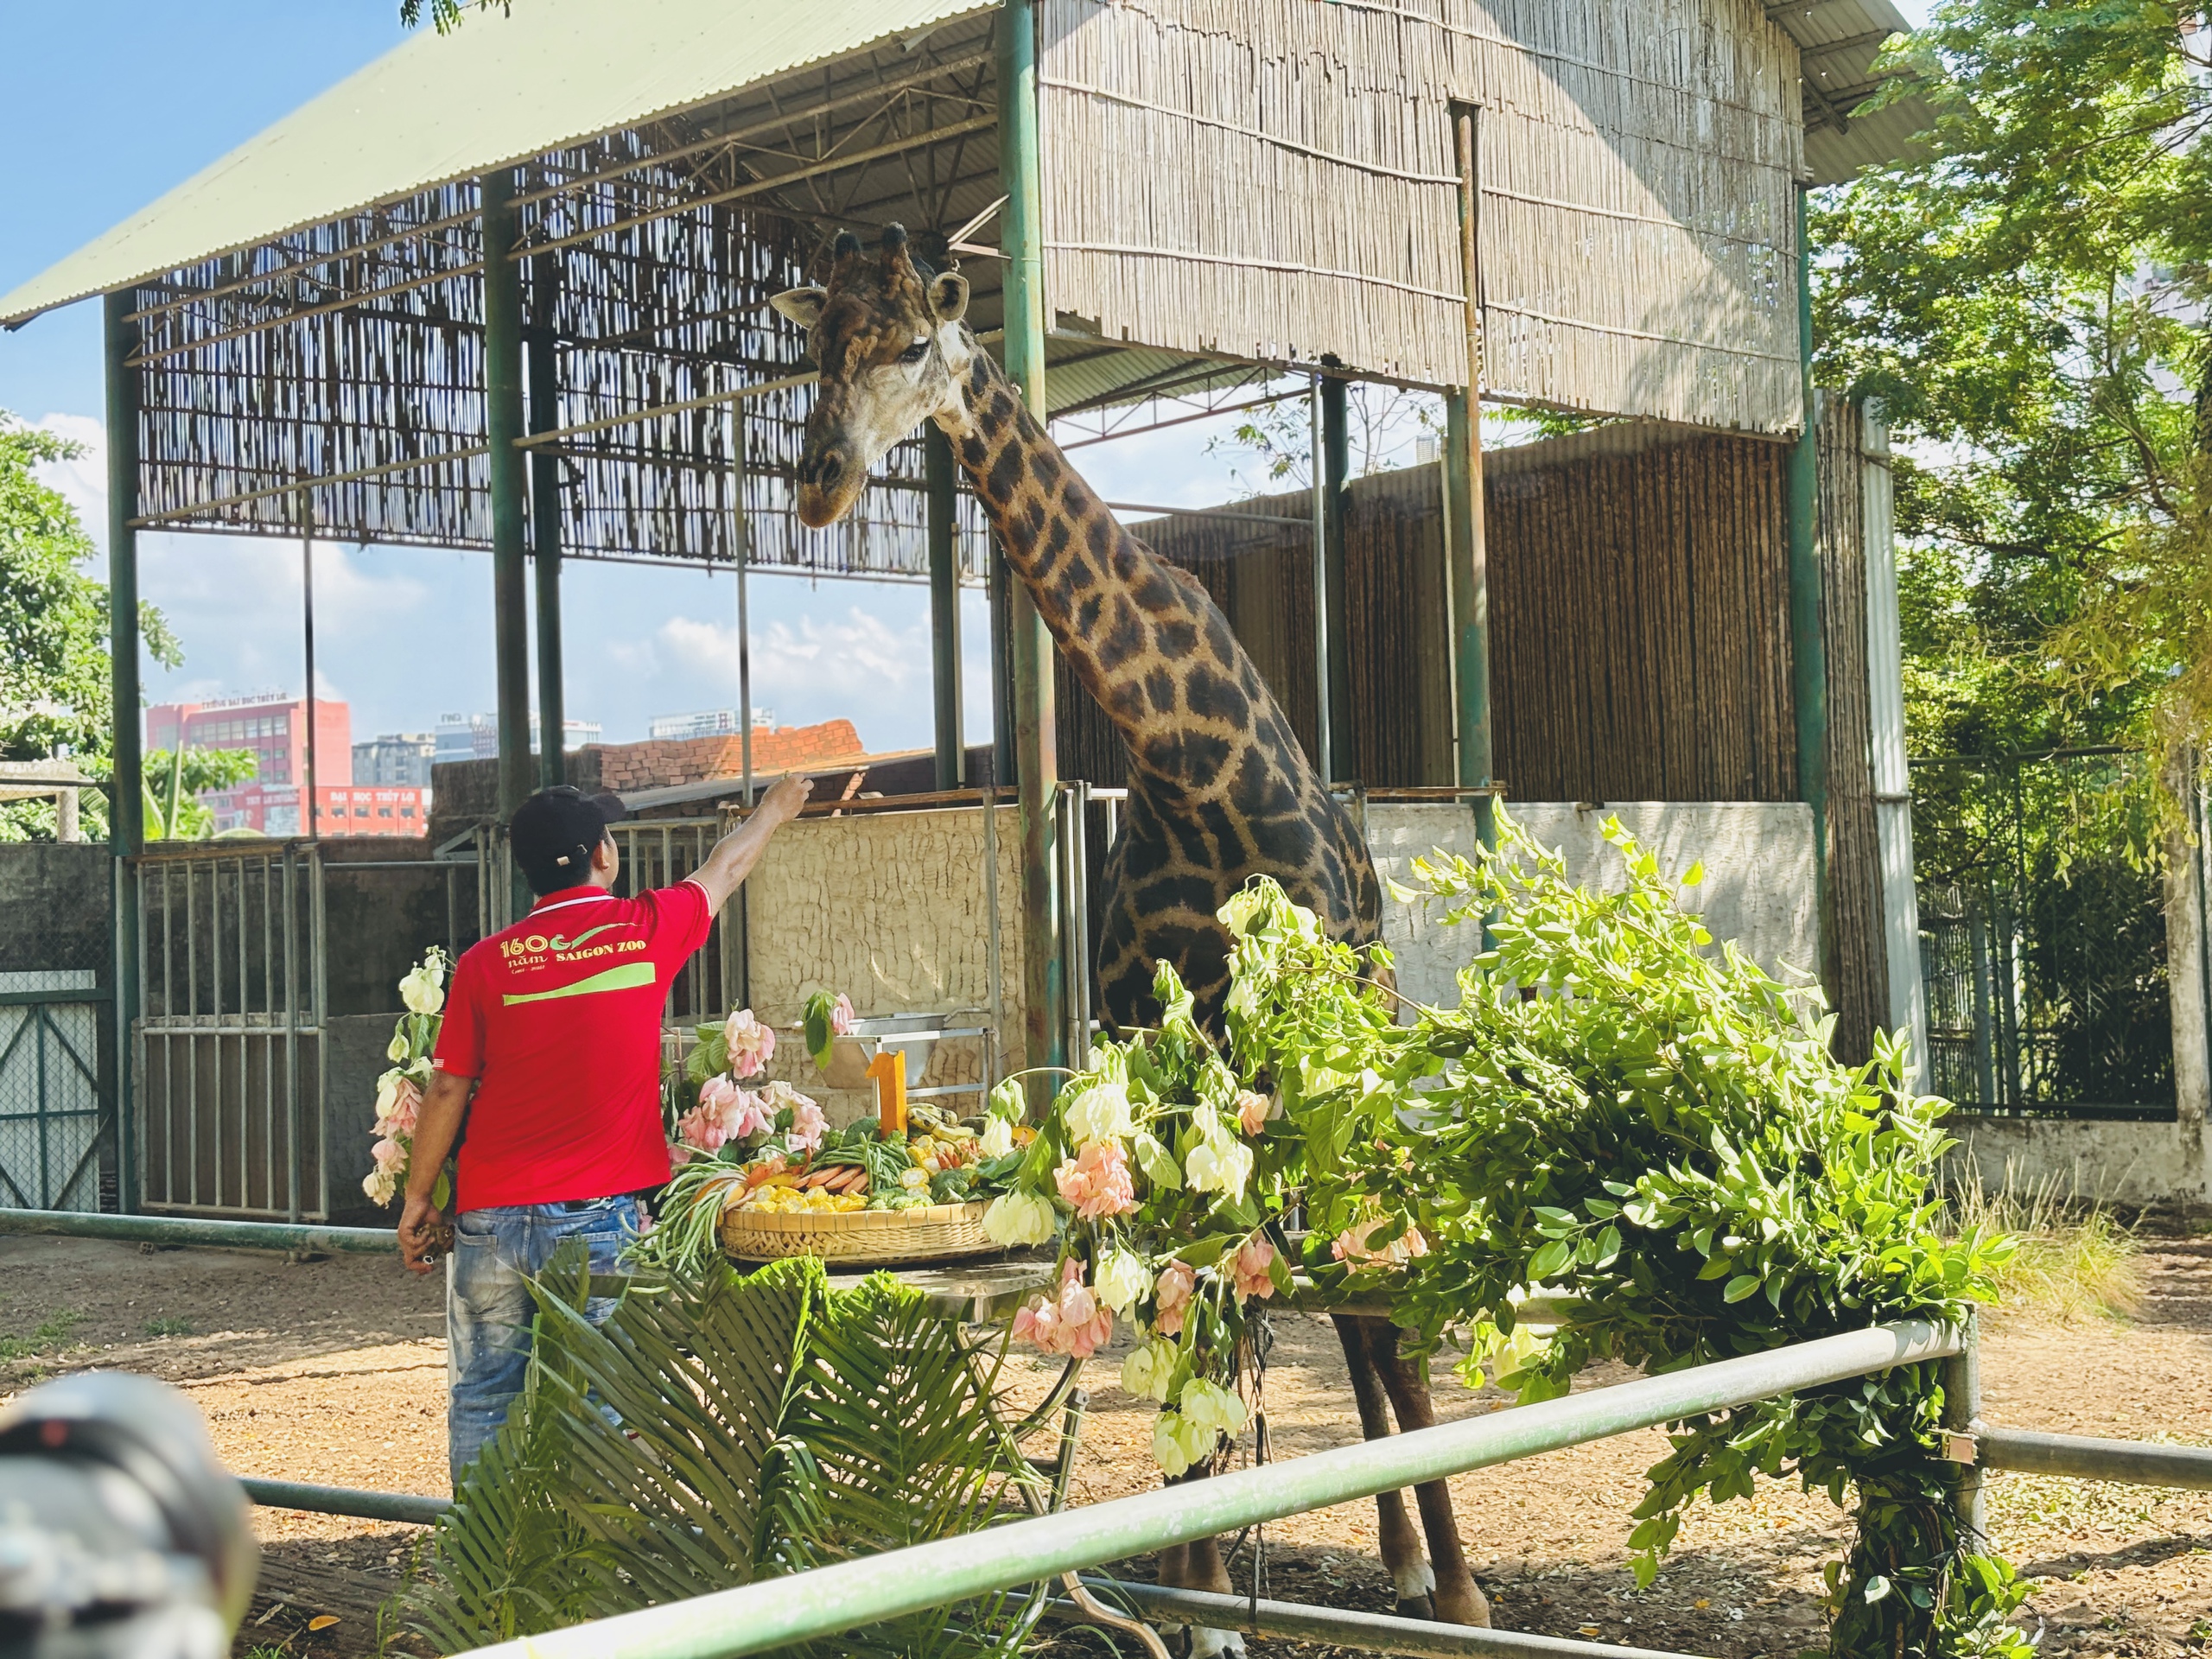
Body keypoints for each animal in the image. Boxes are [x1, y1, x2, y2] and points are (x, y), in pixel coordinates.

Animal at [769, 231, 1495, 1654]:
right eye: (813, 343)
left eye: (909, 343)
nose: (816, 481)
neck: (1186, 769)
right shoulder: (1154, 1048)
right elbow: (1183, 1308)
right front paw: (1204, 1598)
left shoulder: (1283, 1047)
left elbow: (1313, 1305)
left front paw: (1442, 1588)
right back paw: (1365, 1549)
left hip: (1359, 1040)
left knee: (1376, 1308)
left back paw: (1433, 1574)